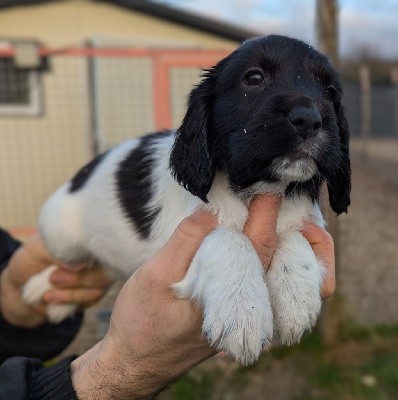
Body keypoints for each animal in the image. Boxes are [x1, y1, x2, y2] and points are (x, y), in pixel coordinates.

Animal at [23, 36, 350, 364]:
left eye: (331, 91)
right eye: (254, 78)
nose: (309, 120)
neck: (259, 188)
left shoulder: (310, 224)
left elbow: (295, 236)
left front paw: (295, 297)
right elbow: (227, 237)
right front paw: (242, 312)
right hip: (61, 237)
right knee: (70, 264)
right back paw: (38, 287)